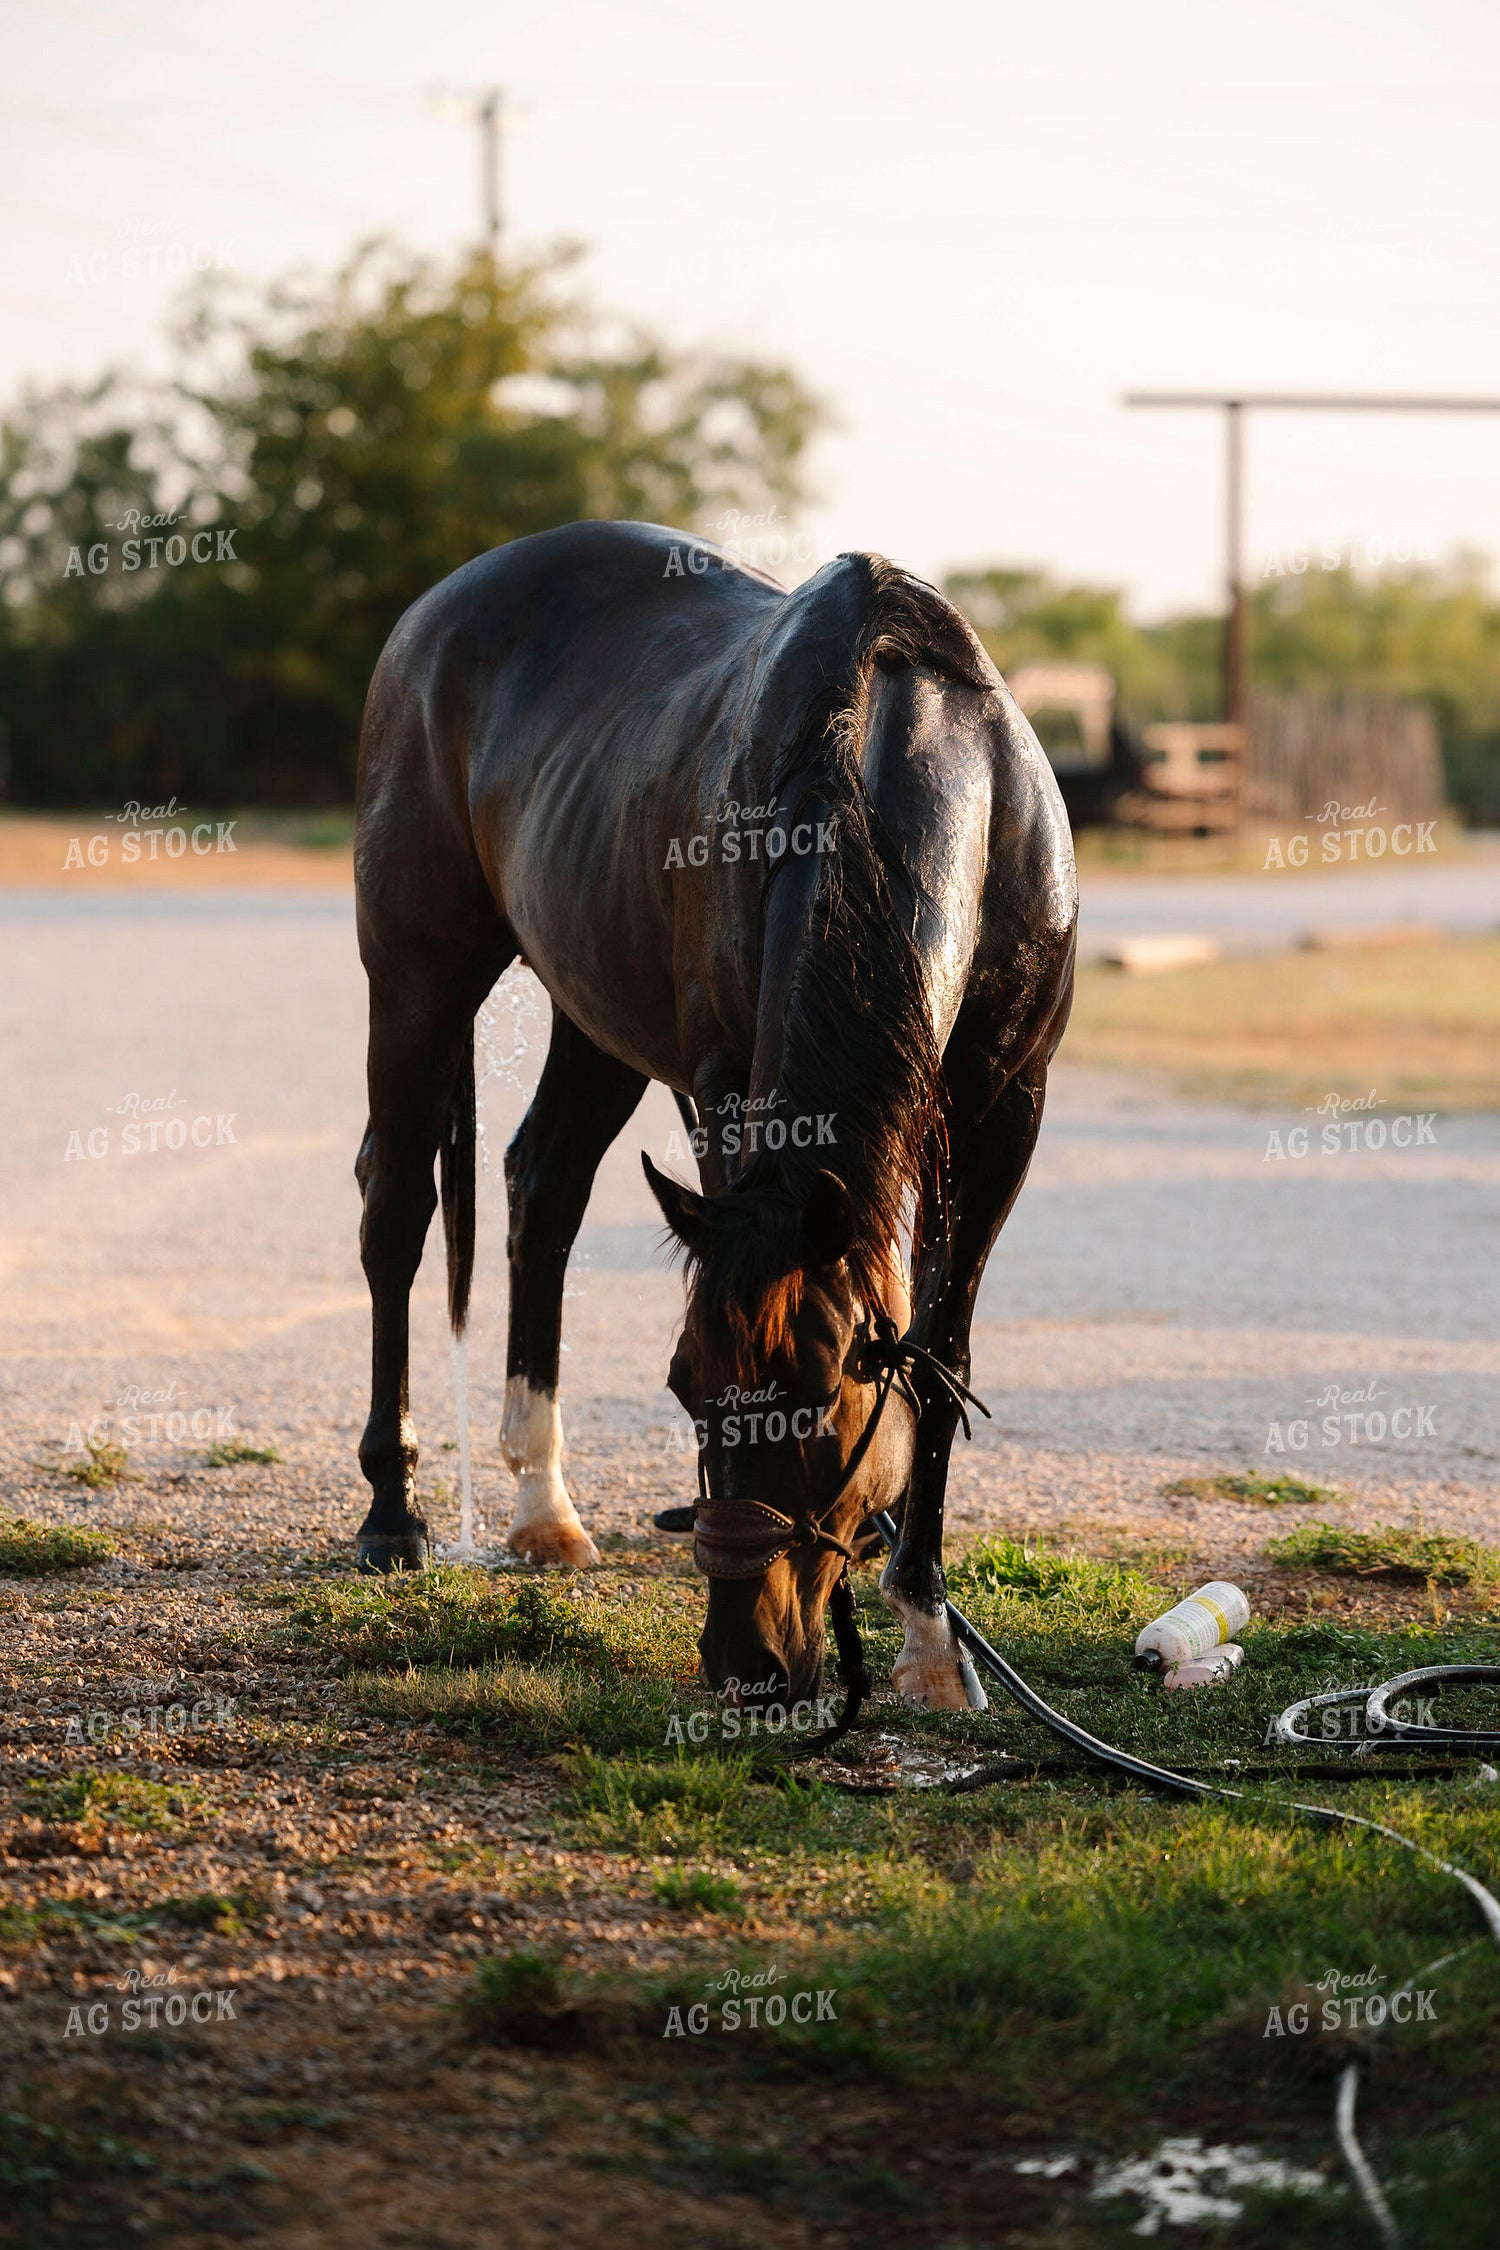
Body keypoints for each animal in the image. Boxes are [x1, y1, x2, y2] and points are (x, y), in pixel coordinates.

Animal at [353, 520, 1076, 1715]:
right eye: (686, 1389)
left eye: (825, 1404)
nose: (750, 1669)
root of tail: (434, 611)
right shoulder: (722, 1088)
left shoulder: (1004, 1112)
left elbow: (939, 1345)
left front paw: (929, 1634)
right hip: (417, 973)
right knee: (399, 1207)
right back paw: (391, 1513)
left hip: (592, 1012)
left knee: (541, 1186)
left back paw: (543, 1510)